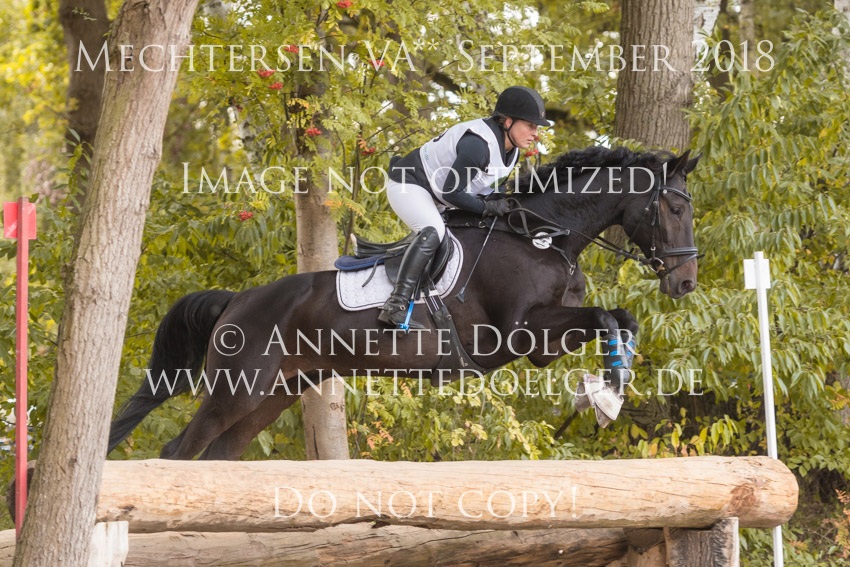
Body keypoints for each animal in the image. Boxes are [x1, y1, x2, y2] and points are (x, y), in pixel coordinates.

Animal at [108, 146, 701, 460]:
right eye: (674, 208)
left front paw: (610, 388)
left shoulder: (542, 347)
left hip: (275, 393)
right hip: (238, 388)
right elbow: (605, 316)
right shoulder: (519, 333)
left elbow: (619, 317)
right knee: (179, 452)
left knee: (218, 455)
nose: (686, 283)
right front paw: (607, 394)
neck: (541, 237)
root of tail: (237, 302)